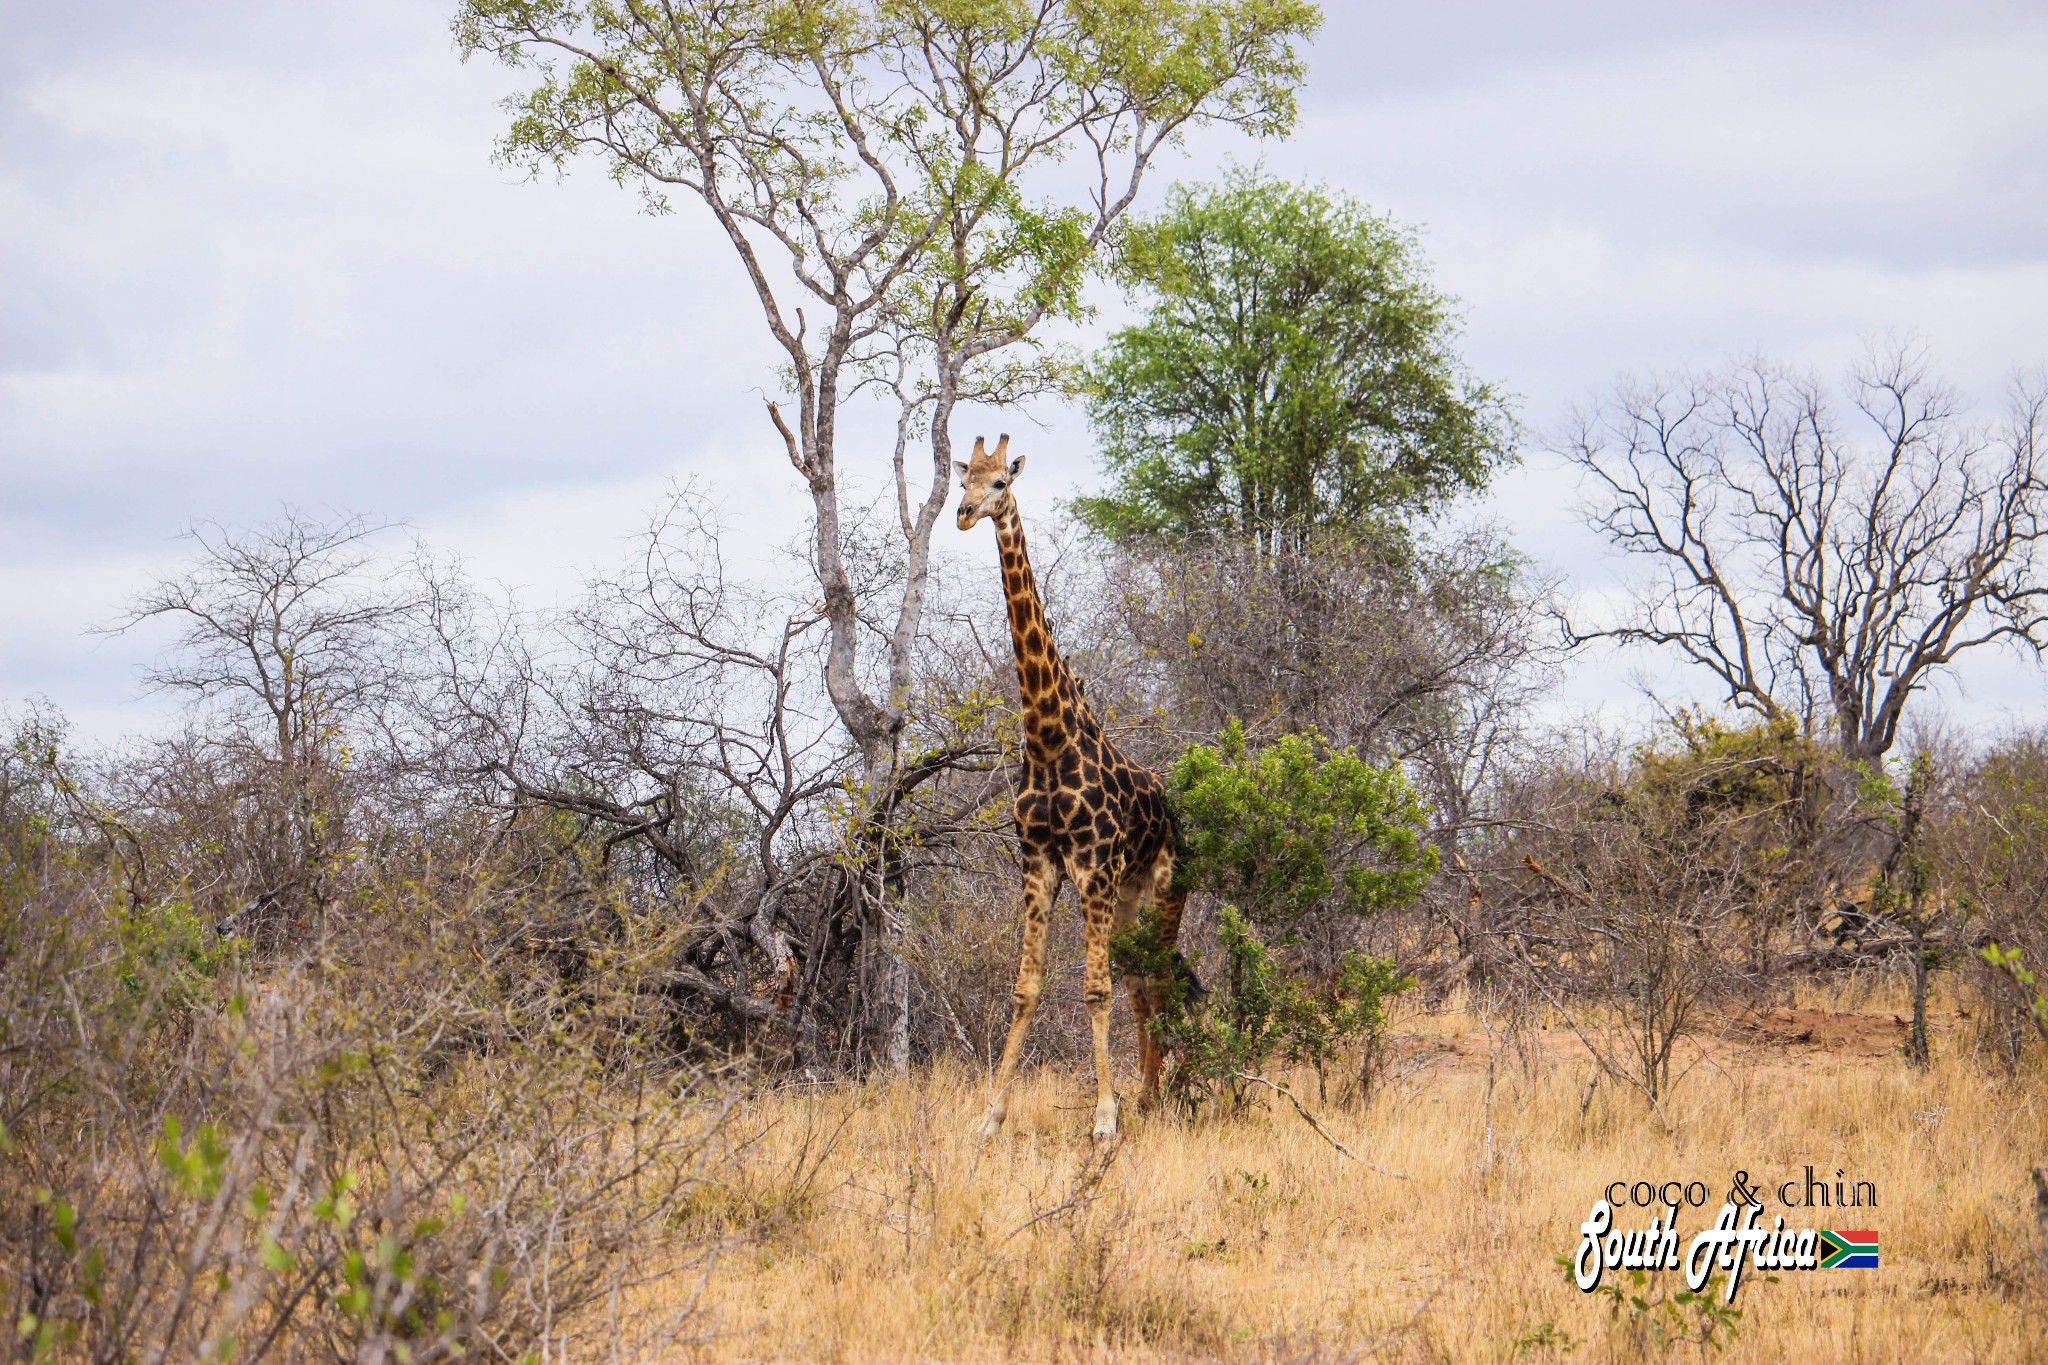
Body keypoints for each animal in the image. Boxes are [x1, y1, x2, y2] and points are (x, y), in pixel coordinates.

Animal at [958, 435, 1196, 1146]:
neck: (1047, 737)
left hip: (1162, 890)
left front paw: (1104, 1120)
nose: (963, 514)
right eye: (962, 476)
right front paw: (989, 1118)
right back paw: (1148, 1094)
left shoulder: (1091, 865)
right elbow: (1025, 989)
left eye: (1002, 483)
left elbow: (1095, 990)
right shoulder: (1039, 863)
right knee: (1142, 982)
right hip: (1127, 897)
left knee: (1155, 978)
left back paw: (1154, 1097)